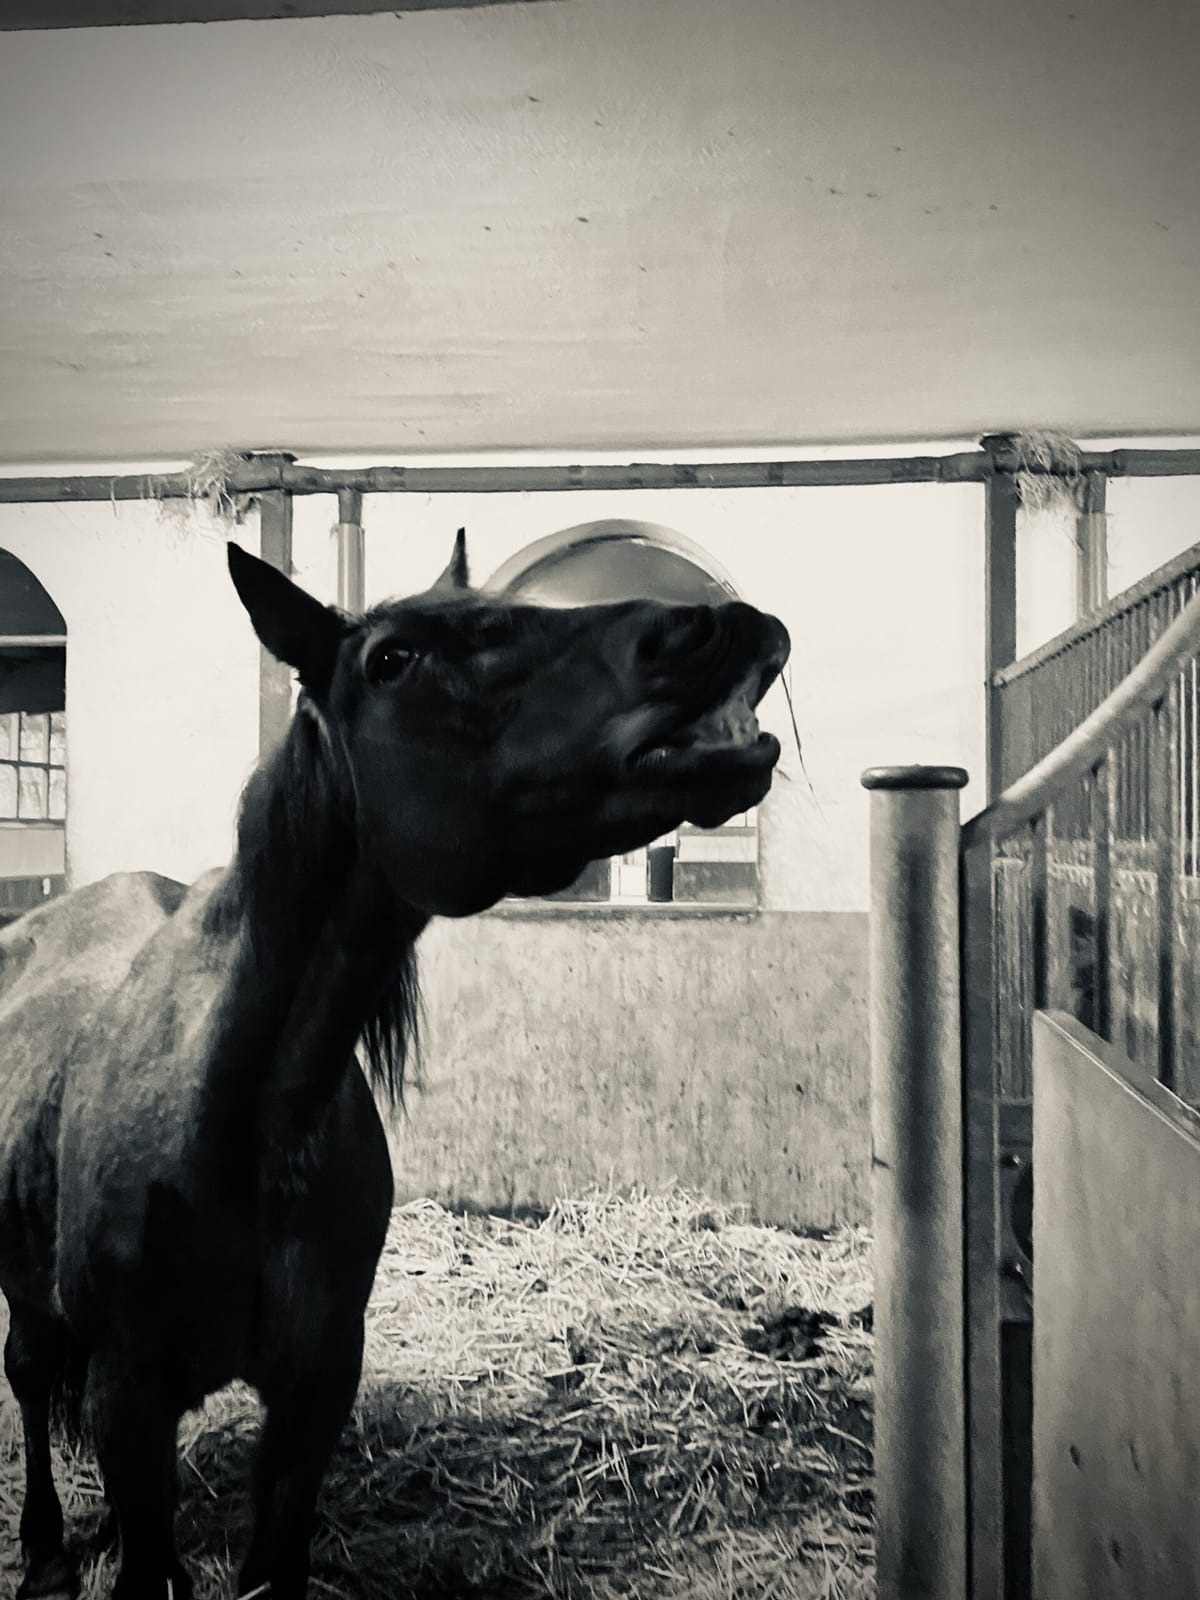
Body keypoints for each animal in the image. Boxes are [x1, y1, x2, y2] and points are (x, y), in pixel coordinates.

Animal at [0, 530, 789, 1600]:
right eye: (392, 659)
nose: (714, 627)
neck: (244, 1127)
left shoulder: (313, 1395)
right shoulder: (129, 1401)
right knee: (29, 1375)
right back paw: (43, 1550)